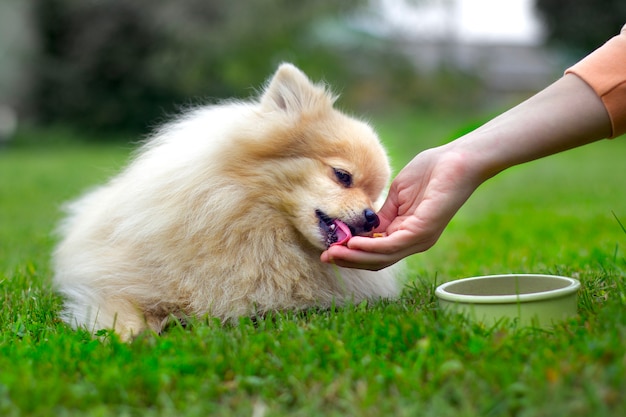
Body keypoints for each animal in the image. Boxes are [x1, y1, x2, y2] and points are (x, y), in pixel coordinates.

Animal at [53, 63, 400, 340]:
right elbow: (124, 308)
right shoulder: (116, 279)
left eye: (374, 196)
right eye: (343, 176)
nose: (372, 217)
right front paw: (126, 338)